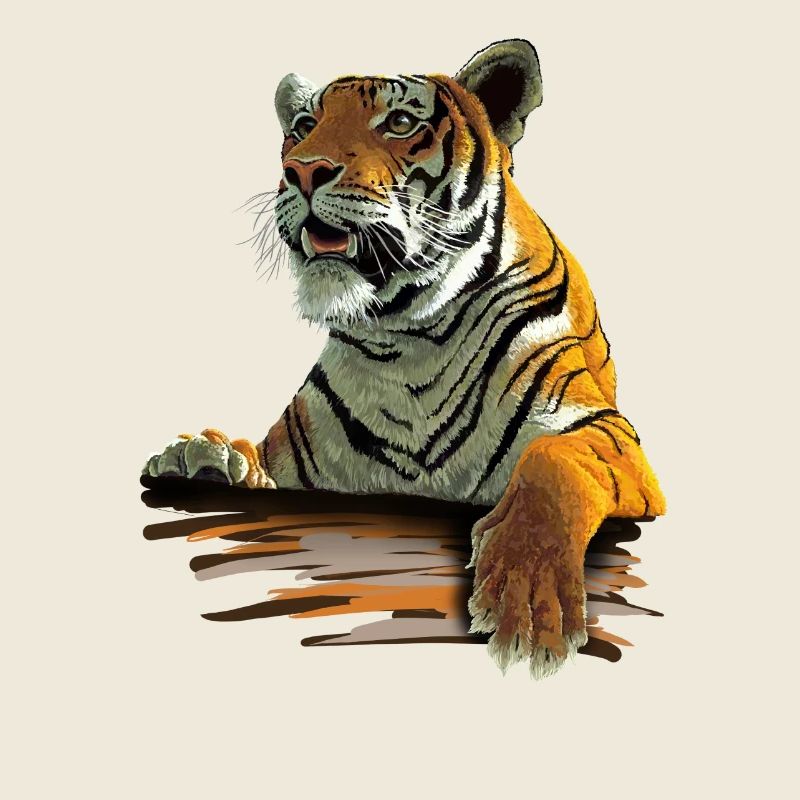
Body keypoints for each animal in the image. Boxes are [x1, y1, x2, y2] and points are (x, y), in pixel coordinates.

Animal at [144, 39, 666, 678]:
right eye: (304, 126)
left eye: (398, 123)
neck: (406, 342)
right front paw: (201, 458)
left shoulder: (604, 431)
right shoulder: (297, 467)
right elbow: (254, 460)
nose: (303, 170)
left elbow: (553, 465)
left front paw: (527, 604)